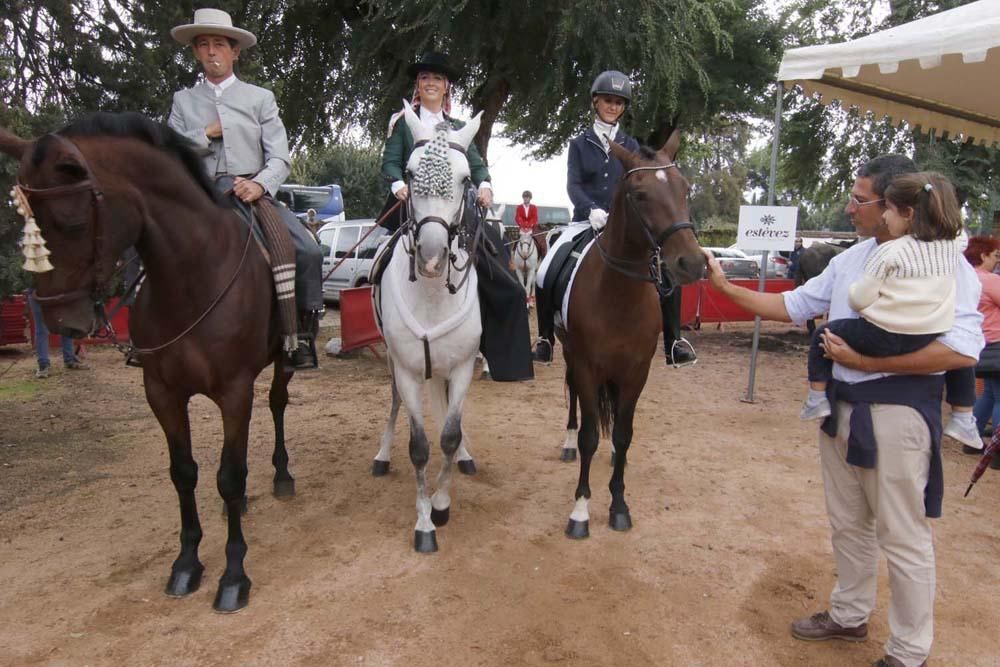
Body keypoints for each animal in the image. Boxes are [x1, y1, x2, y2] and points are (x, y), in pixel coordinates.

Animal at [556, 132, 704, 544]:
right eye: (639, 195)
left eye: (685, 188)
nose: (692, 263)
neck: (617, 293)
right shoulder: (588, 365)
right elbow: (591, 434)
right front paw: (580, 509)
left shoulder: (637, 372)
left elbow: (623, 434)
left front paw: (619, 505)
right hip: (569, 355)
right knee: (574, 398)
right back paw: (568, 443)